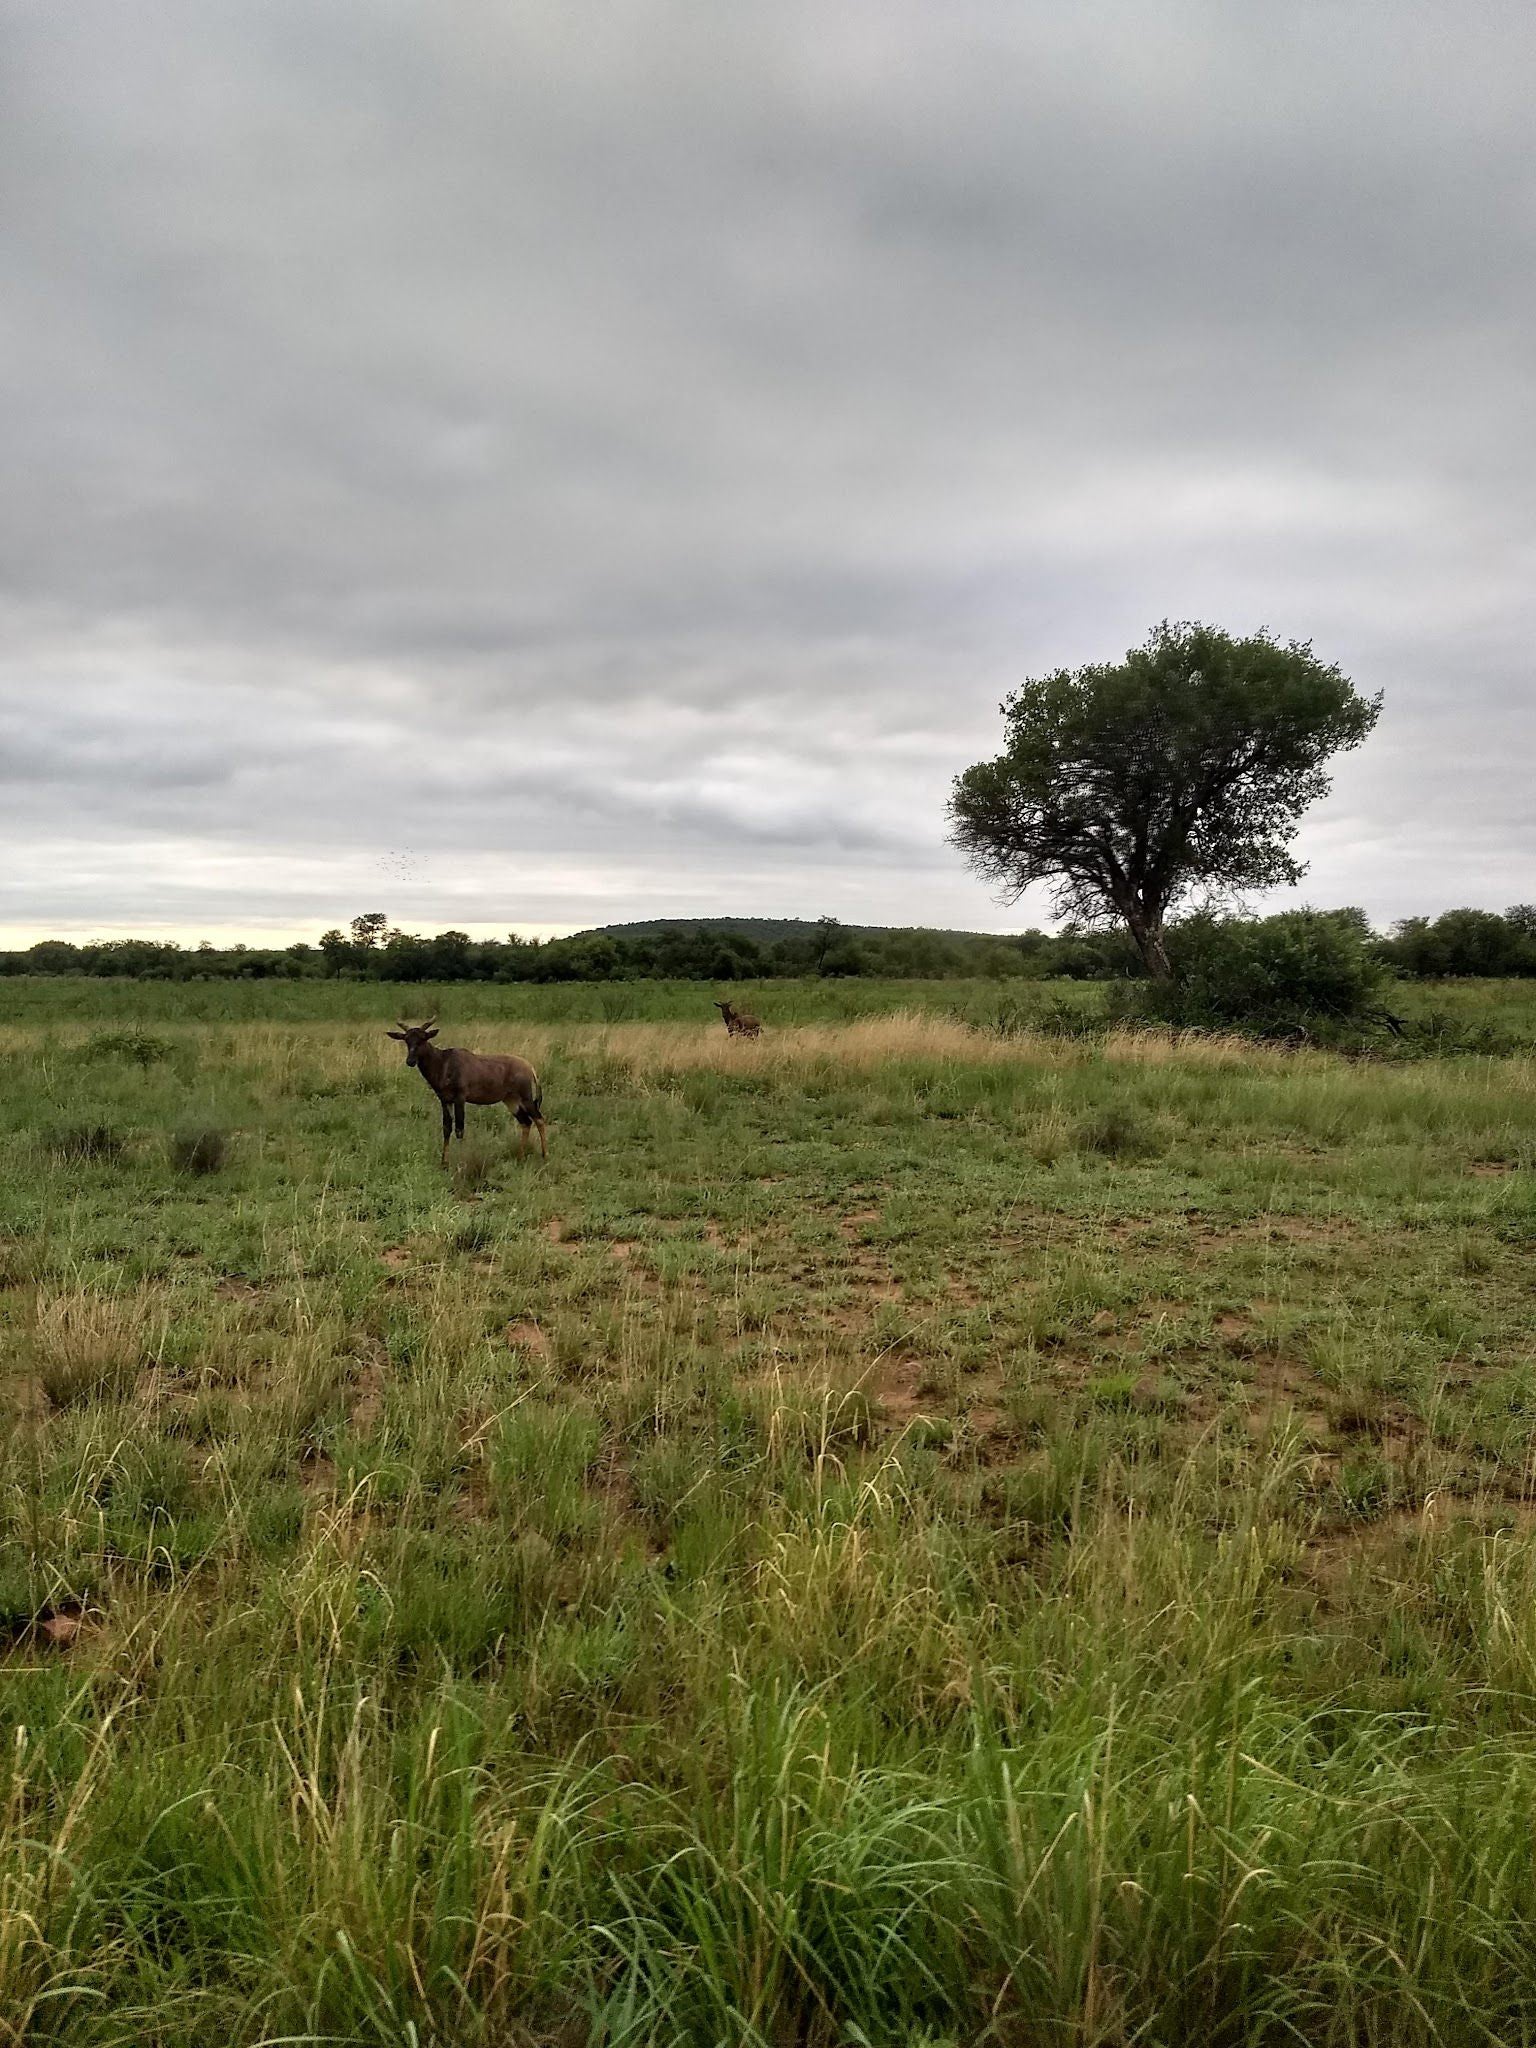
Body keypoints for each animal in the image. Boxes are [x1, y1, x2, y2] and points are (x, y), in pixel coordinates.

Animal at [387, 1015, 548, 1163]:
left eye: (423, 1038)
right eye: (406, 1040)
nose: (410, 1061)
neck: (444, 1061)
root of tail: (530, 1067)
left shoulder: (460, 1098)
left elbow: (459, 1129)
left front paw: (459, 1163)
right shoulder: (445, 1100)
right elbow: (446, 1128)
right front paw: (444, 1164)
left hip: (525, 1098)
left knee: (539, 1119)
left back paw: (544, 1156)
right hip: (511, 1101)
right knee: (526, 1122)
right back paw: (520, 1158)